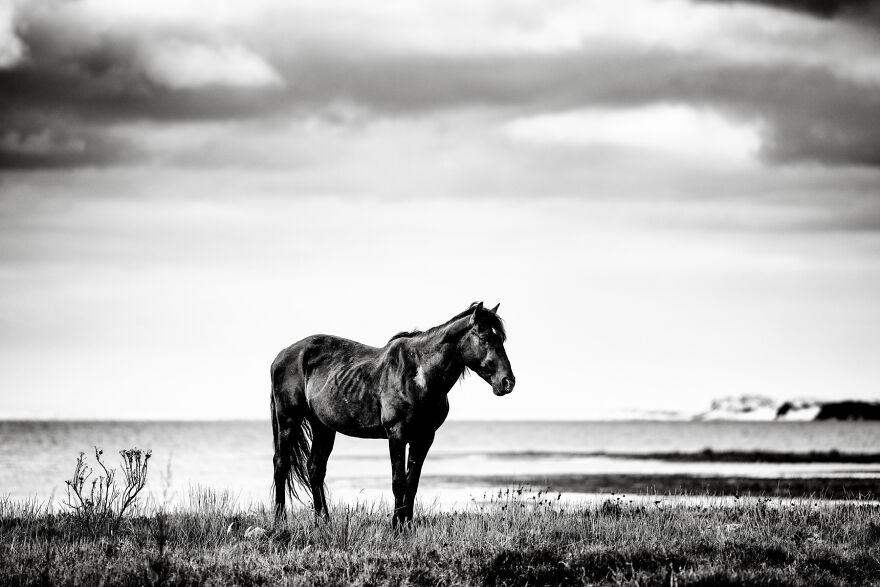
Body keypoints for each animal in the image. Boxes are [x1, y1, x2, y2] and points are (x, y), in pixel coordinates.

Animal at [270, 301, 515, 527]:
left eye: (501, 340)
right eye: (484, 338)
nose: (507, 382)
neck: (420, 374)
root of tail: (282, 355)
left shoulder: (424, 437)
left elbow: (412, 483)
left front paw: (407, 524)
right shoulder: (397, 434)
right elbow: (399, 482)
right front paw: (397, 525)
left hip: (323, 427)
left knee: (315, 469)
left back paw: (324, 521)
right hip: (288, 420)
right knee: (281, 465)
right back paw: (280, 520)